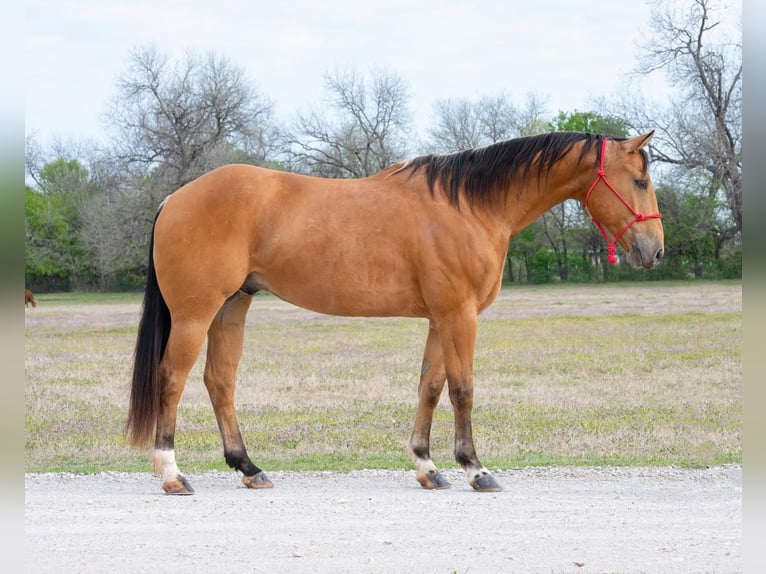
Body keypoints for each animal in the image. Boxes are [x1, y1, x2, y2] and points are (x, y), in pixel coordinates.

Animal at [127, 130, 664, 496]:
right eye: (639, 180)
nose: (654, 250)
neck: (470, 206)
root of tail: (175, 197)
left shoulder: (440, 317)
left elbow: (430, 386)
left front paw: (428, 467)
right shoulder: (460, 315)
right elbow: (463, 389)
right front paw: (476, 469)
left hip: (232, 307)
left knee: (220, 381)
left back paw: (249, 468)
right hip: (196, 315)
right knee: (172, 378)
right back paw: (172, 474)